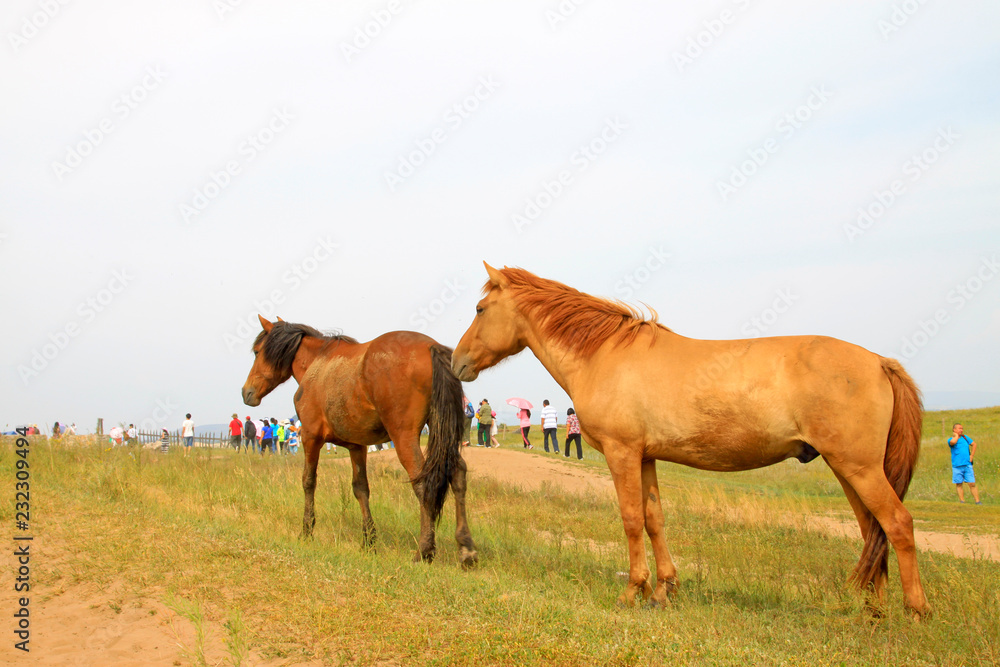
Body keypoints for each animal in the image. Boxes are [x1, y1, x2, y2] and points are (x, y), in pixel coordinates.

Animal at [242, 315, 478, 568]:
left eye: (256, 351)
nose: (246, 392)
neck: (317, 364)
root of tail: (430, 346)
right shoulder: (357, 446)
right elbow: (361, 489)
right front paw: (369, 541)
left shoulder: (310, 436)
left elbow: (308, 482)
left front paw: (306, 531)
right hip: (442, 430)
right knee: (458, 475)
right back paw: (466, 548)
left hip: (403, 437)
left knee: (423, 483)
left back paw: (424, 550)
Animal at [451, 263, 929, 618]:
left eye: (480, 308)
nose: (457, 363)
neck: (604, 355)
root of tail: (879, 362)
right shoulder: (645, 458)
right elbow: (654, 519)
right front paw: (663, 591)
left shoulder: (623, 454)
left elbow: (630, 519)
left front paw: (633, 591)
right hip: (850, 470)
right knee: (872, 532)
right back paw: (873, 611)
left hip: (858, 468)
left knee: (897, 524)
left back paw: (914, 611)